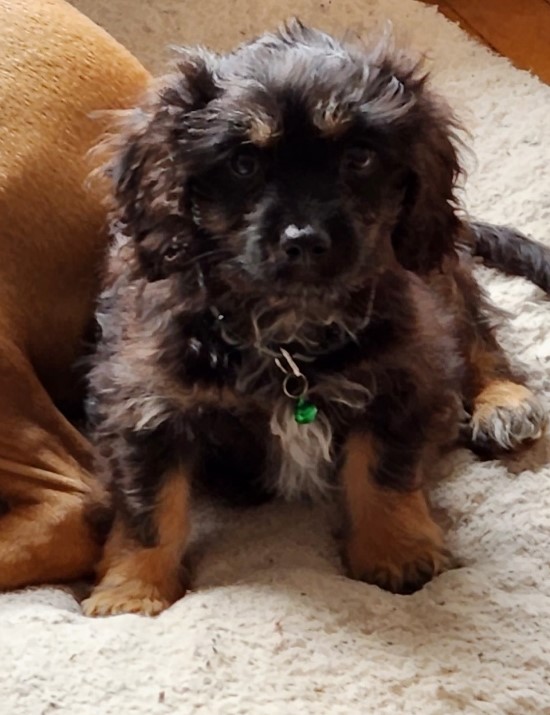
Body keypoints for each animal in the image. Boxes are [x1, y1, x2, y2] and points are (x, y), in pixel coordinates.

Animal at [74, 21, 548, 617]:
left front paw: (395, 552)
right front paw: (132, 592)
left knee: (480, 336)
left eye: (360, 158)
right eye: (244, 164)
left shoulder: (404, 366)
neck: (288, 332)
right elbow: (150, 505)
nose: (304, 240)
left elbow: (382, 470)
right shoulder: (143, 400)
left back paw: (503, 401)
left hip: (440, 275)